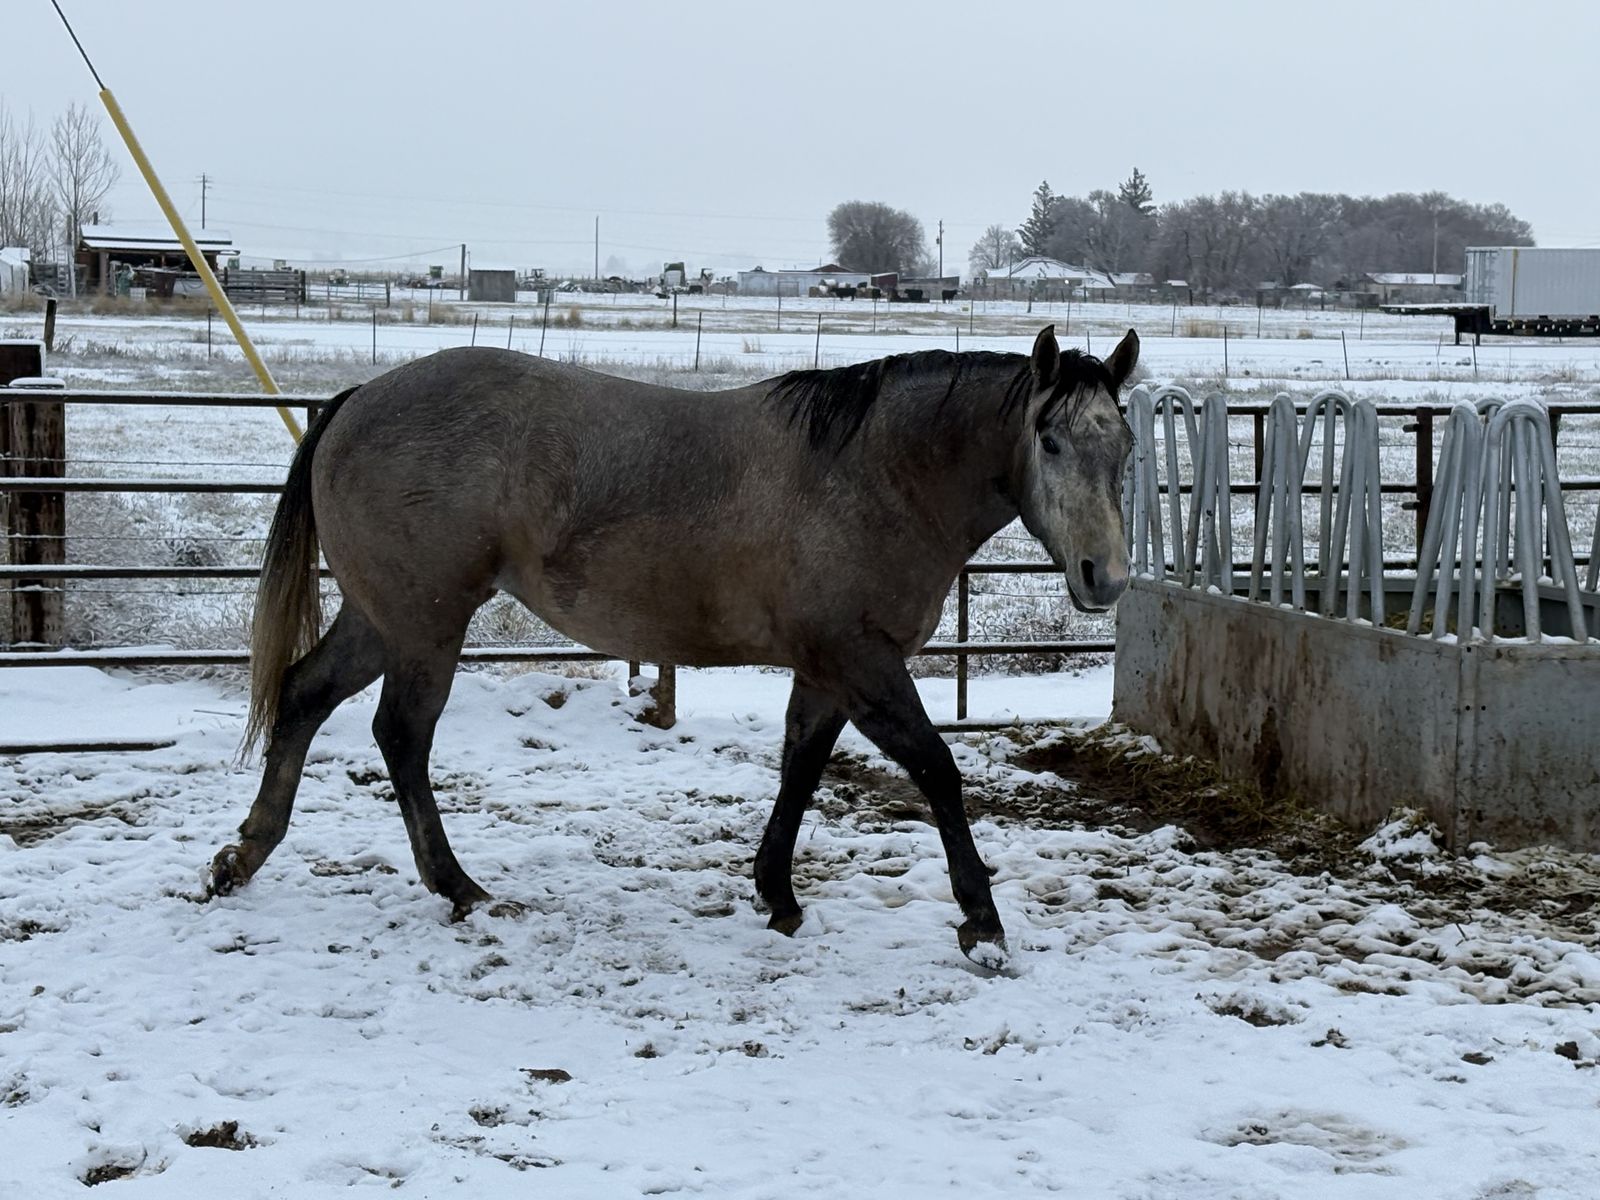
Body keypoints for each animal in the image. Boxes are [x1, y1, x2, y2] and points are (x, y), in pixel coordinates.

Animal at [209, 324, 1138, 966]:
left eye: (1124, 445)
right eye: (1050, 439)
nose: (1105, 576)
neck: (872, 473)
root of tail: (360, 398)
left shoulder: (825, 671)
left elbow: (800, 769)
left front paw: (777, 895)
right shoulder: (863, 662)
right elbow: (937, 770)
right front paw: (981, 920)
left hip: (383, 618)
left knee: (303, 695)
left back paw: (243, 856)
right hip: (424, 626)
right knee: (399, 737)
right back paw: (460, 887)